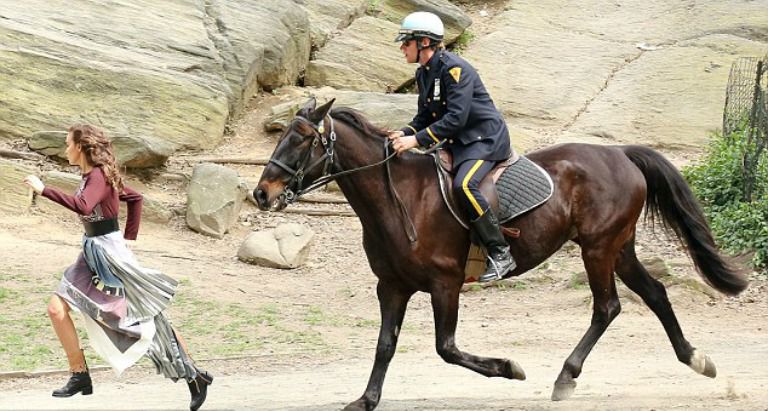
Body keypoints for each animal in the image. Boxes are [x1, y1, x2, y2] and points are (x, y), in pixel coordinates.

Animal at [255, 98, 748, 410]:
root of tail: (620, 153)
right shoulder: (391, 286)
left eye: (301, 141)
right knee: (656, 294)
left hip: (598, 248)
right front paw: (366, 400)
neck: (400, 198)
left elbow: (446, 348)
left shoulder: (445, 284)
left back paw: (565, 377)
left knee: (607, 307)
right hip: (618, 248)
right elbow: (385, 345)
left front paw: (509, 368)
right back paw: (696, 359)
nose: (262, 194)